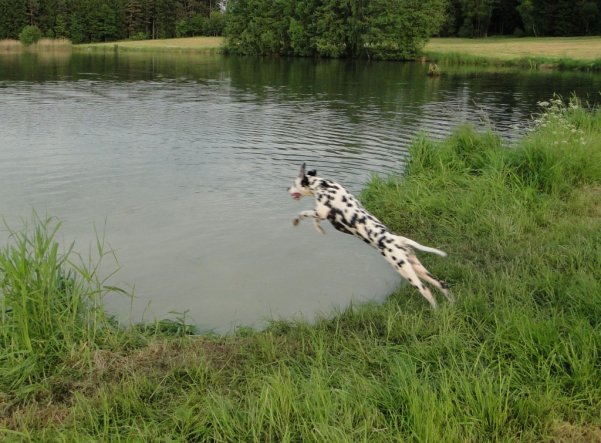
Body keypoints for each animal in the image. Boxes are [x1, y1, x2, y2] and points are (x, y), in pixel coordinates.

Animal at [288, 163, 450, 308]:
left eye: (294, 183)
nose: (286, 188)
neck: (324, 185)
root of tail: (399, 241)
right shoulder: (321, 214)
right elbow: (314, 220)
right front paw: (319, 229)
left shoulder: (320, 212)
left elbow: (304, 213)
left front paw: (297, 221)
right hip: (418, 269)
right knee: (442, 284)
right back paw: (449, 306)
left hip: (407, 272)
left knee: (427, 292)